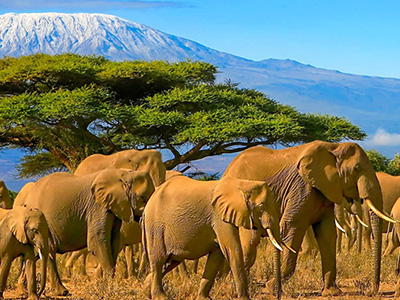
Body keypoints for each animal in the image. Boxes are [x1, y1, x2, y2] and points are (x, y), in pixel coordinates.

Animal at [13, 169, 155, 296]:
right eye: (143, 198)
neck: (124, 174)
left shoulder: (114, 208)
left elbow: (114, 242)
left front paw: (104, 286)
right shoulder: (97, 207)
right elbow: (97, 241)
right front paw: (108, 290)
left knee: (38, 254)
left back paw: (24, 291)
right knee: (48, 252)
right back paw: (60, 292)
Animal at [144, 176, 282, 300]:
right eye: (261, 207)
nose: (277, 294)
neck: (241, 184)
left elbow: (217, 255)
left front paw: (203, 298)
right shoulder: (219, 217)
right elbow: (232, 250)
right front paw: (244, 299)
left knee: (170, 262)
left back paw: (146, 290)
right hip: (155, 226)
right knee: (158, 260)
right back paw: (160, 297)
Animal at [223, 141, 396, 296]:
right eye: (357, 168)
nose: (372, 291)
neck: (334, 147)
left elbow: (327, 233)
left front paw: (332, 292)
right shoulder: (301, 188)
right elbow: (292, 227)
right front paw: (271, 287)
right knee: (249, 243)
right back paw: (234, 288)